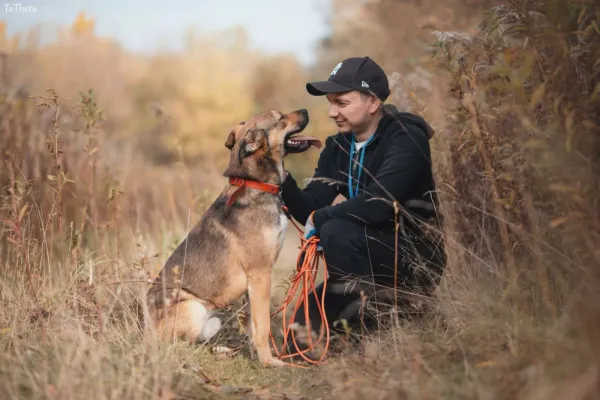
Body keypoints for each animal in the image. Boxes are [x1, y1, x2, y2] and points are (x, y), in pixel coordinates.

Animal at [145, 108, 322, 368]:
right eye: (280, 118)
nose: (306, 110)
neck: (256, 184)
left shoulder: (253, 285)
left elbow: (252, 327)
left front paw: (256, 357)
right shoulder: (260, 275)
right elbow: (262, 326)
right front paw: (270, 362)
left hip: (211, 320)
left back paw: (222, 350)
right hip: (193, 308)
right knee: (176, 346)